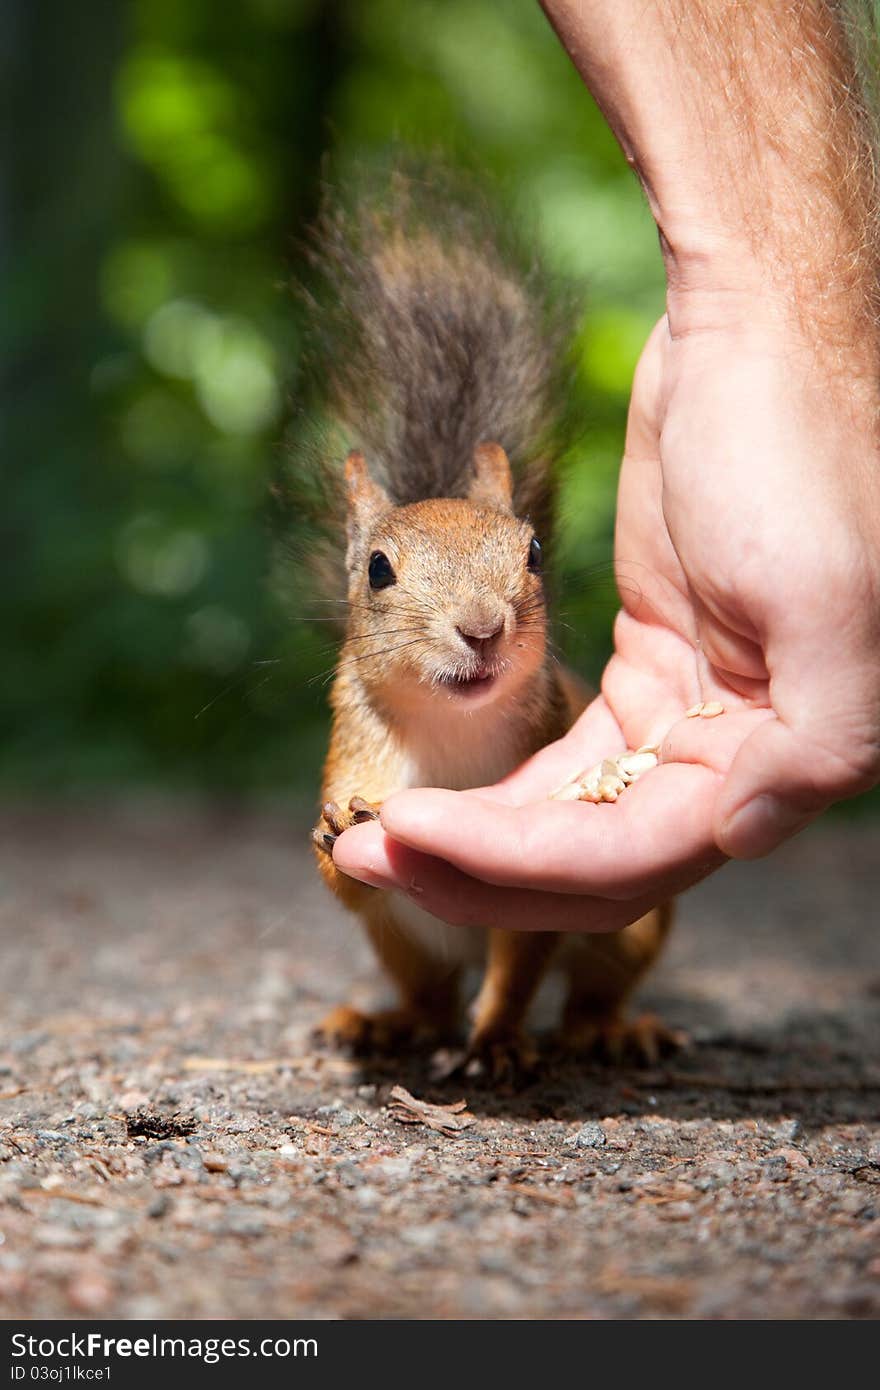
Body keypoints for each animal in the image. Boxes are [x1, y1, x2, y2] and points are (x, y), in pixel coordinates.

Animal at [291, 170, 675, 1084]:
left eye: (531, 551)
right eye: (377, 570)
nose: (481, 627)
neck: (451, 732)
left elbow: (519, 965)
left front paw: (498, 1040)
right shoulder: (352, 758)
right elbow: (341, 878)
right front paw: (333, 832)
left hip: (633, 931)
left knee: (583, 989)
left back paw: (607, 1030)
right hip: (402, 938)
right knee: (431, 994)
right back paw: (382, 1023)